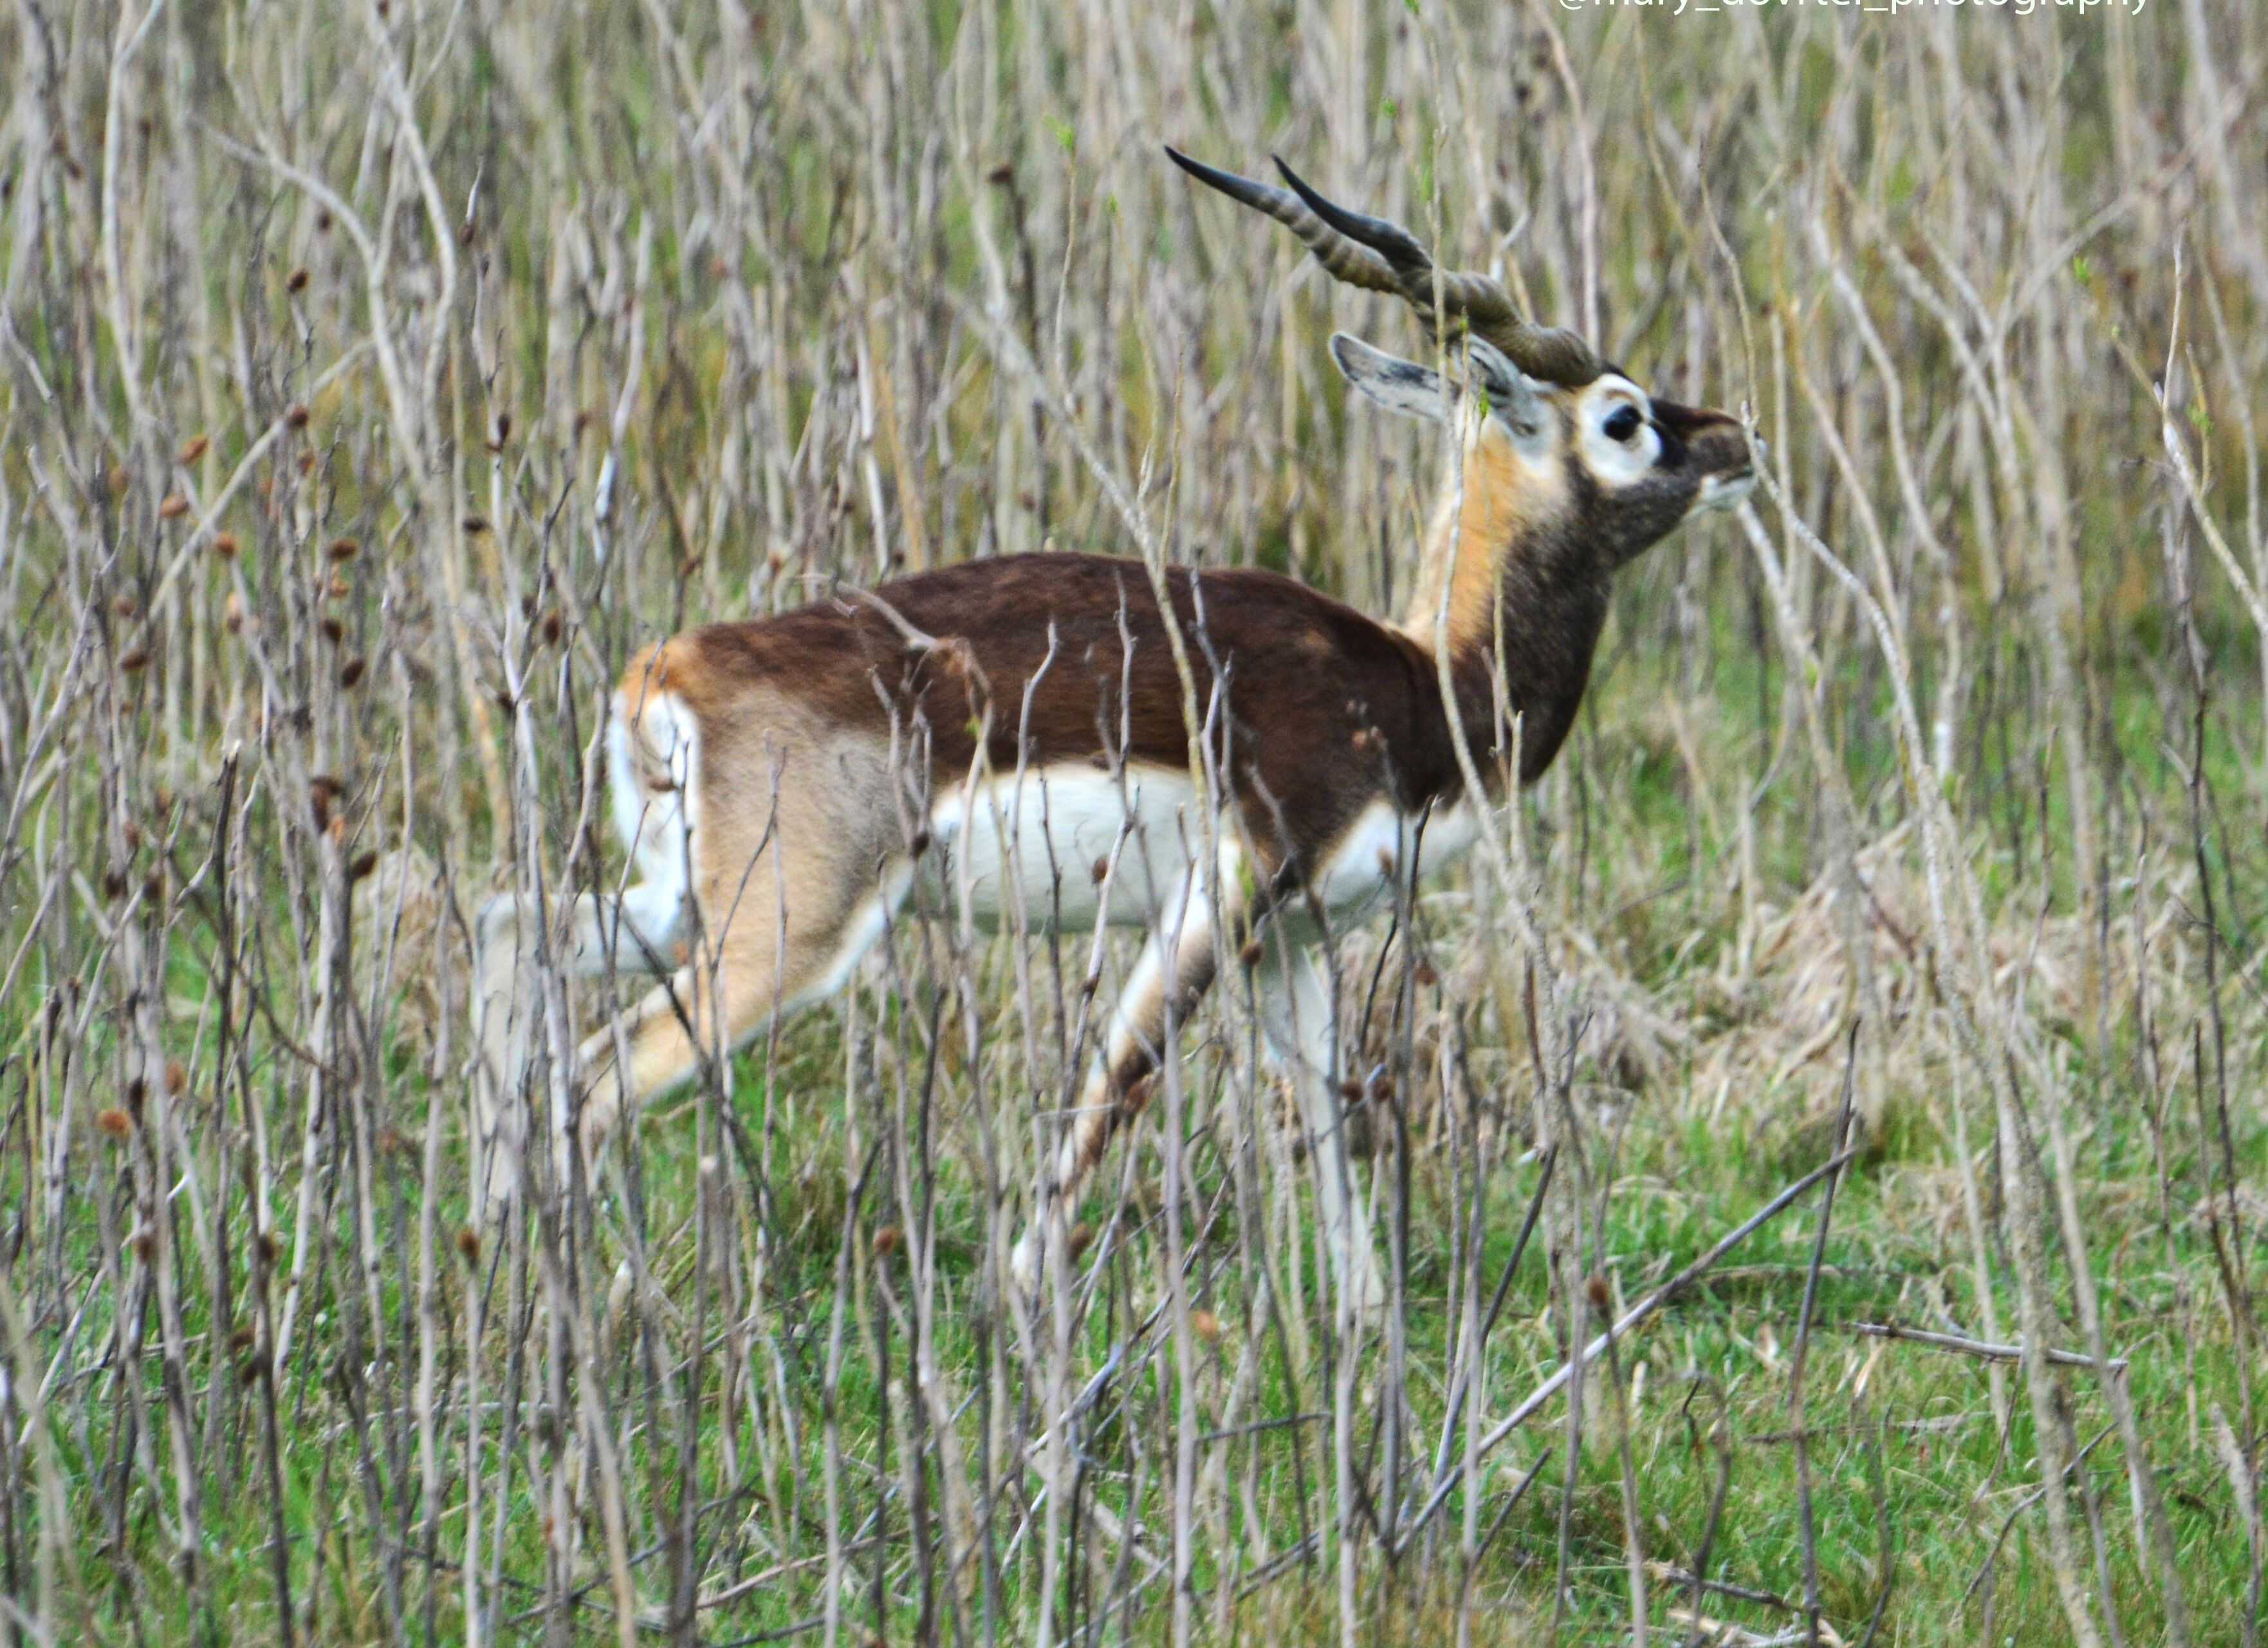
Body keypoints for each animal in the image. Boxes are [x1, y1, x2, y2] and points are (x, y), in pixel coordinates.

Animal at [472, 150, 1756, 1315]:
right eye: (1625, 417)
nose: (1737, 439)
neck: (1421, 682)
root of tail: (667, 670)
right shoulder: (1216, 900)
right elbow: (1118, 1085)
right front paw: (1019, 1289)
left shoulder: (1294, 941)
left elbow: (1330, 1113)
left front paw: (1364, 1314)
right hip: (788, 935)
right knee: (596, 1077)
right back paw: (616, 1302)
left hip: (682, 902)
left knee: (512, 938)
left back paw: (511, 1254)